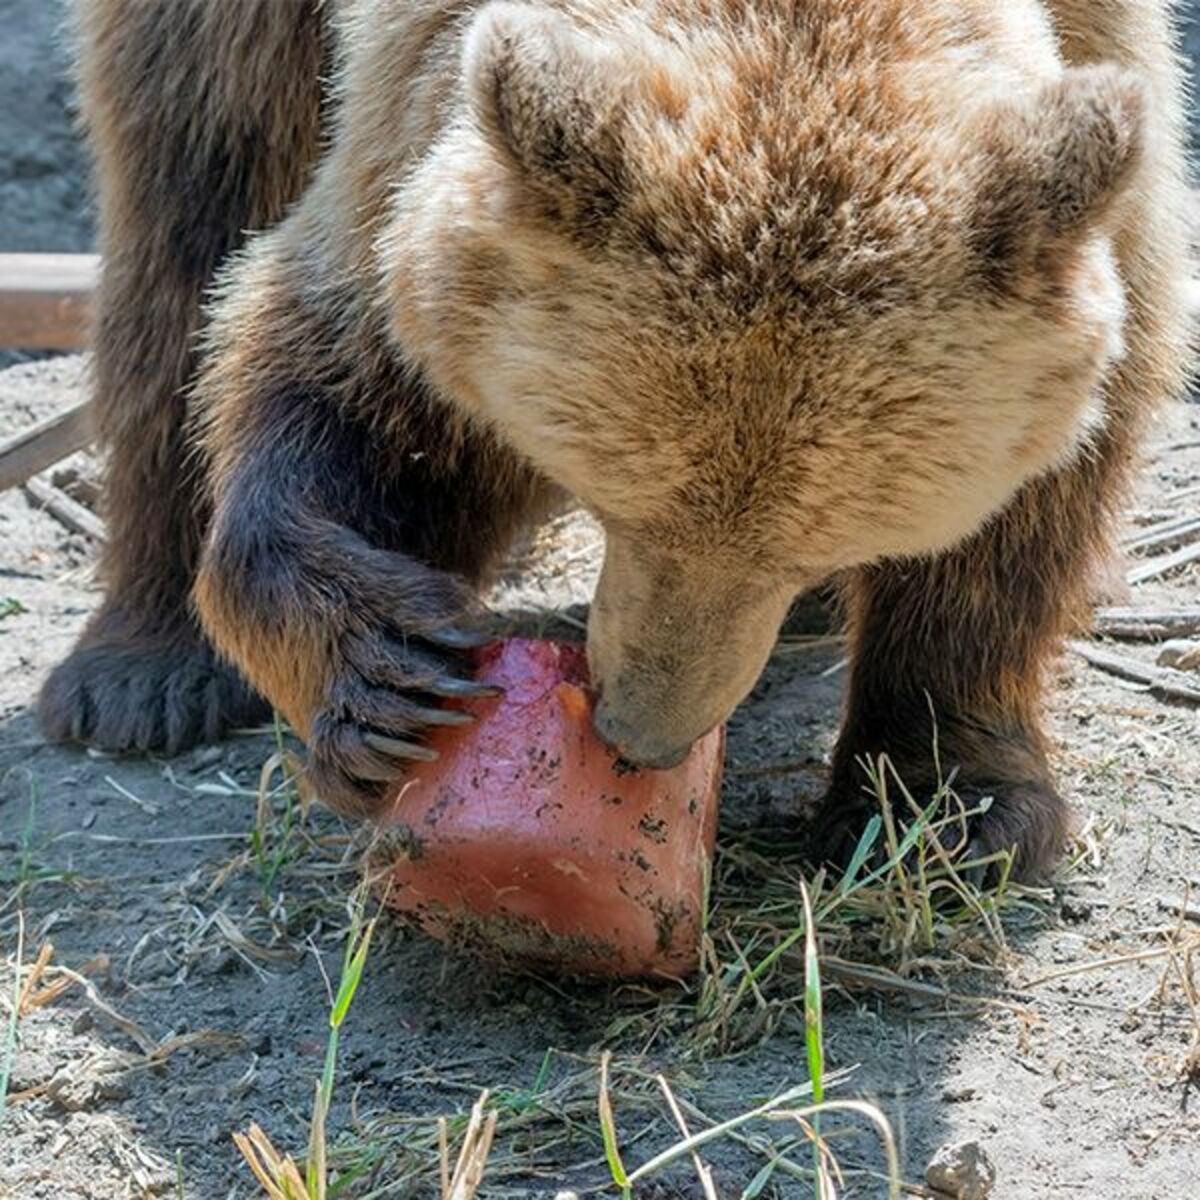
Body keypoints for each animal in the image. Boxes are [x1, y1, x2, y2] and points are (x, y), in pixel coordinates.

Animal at [43, 0, 1191, 880]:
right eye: (619, 504)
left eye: (814, 542)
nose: (643, 734)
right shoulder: (412, 124)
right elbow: (343, 372)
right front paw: (386, 681)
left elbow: (1034, 505)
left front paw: (943, 807)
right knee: (192, 192)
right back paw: (143, 673)